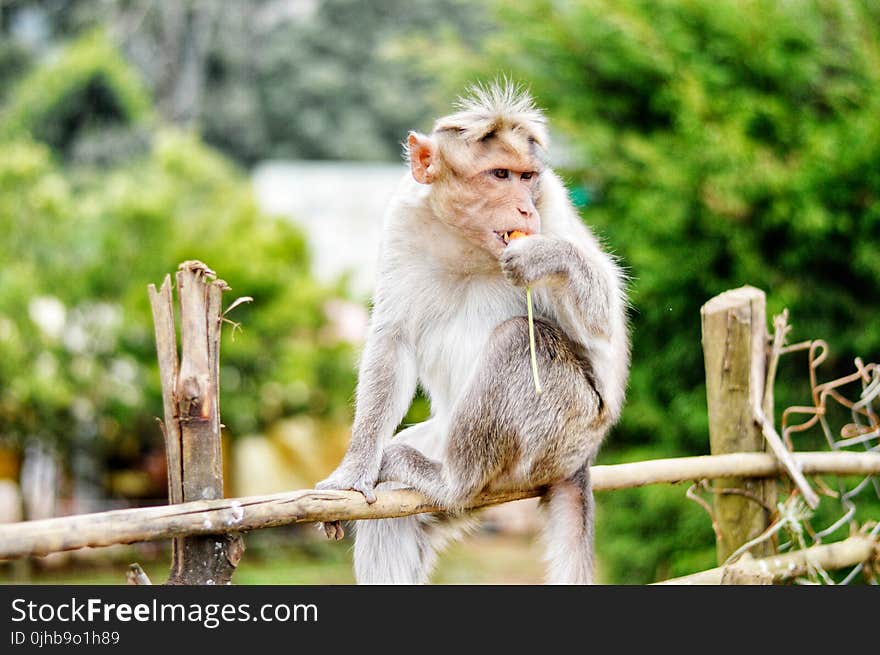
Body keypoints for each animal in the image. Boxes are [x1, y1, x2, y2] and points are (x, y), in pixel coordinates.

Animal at [312, 79, 628, 588]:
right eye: (499, 174)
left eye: (526, 177)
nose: (524, 209)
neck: (467, 240)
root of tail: (582, 458)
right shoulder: (404, 217)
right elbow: (393, 340)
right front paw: (353, 468)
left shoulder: (554, 204)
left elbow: (604, 330)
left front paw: (546, 257)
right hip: (451, 436)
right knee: (392, 520)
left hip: (565, 432)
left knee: (517, 340)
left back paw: (453, 481)